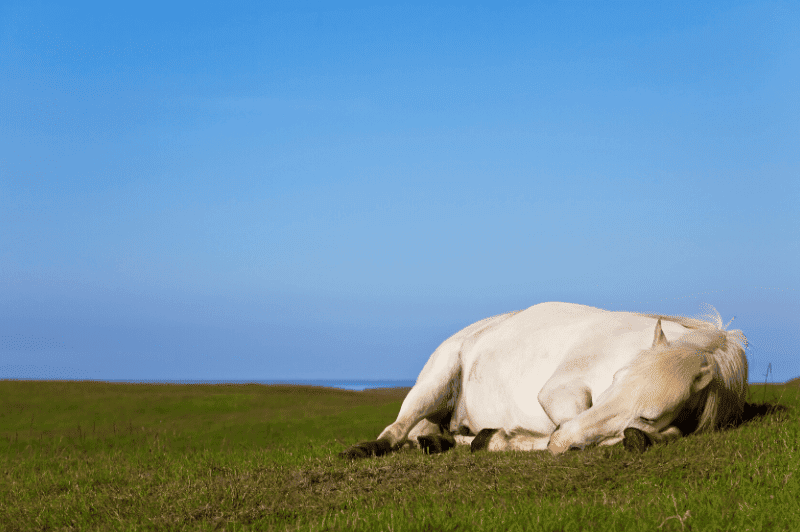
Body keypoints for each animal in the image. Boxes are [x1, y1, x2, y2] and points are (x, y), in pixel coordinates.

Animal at [340, 302, 748, 458]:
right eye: (616, 378)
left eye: (649, 414)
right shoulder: (558, 391)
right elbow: (570, 426)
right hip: (434, 382)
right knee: (396, 430)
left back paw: (445, 440)